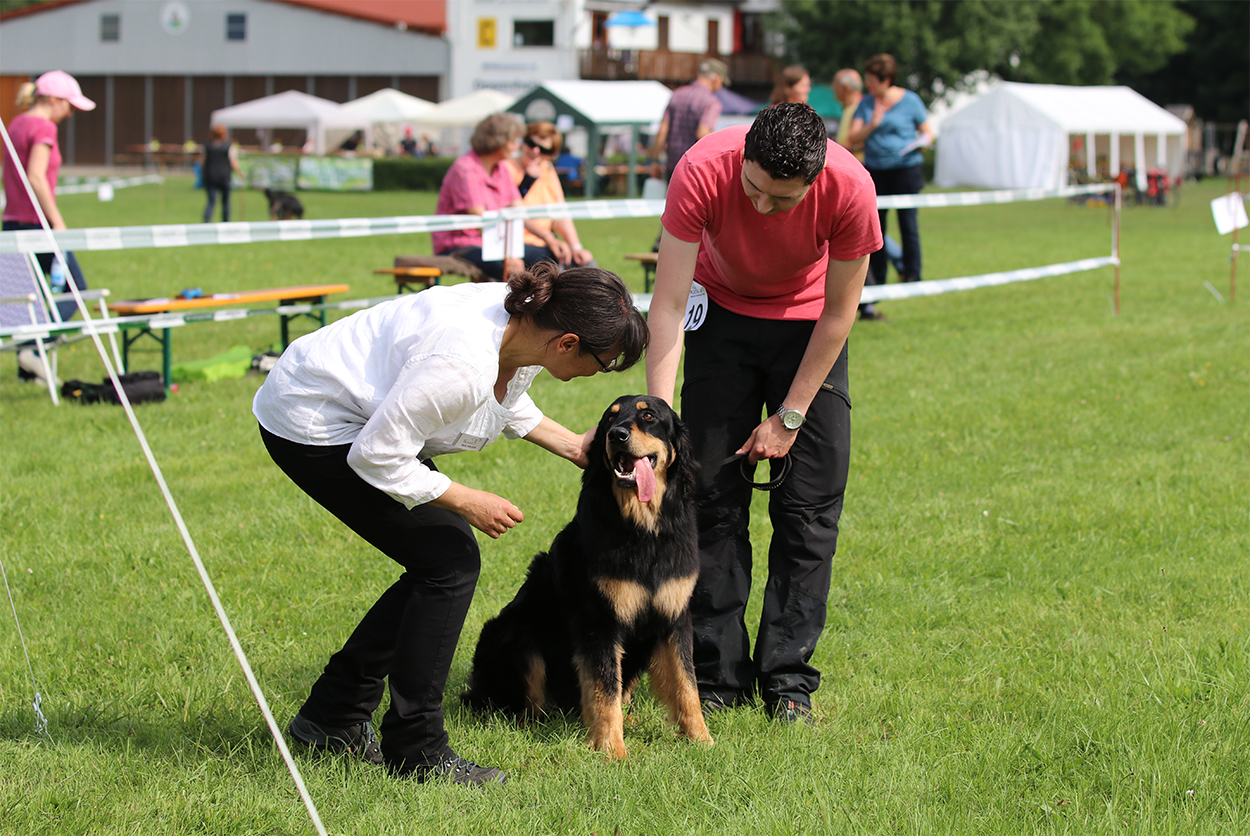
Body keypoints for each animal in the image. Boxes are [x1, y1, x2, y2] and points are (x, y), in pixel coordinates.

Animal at [463, 395, 712, 759]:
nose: (617, 435)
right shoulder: (599, 621)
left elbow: (686, 684)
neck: (642, 528)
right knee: (526, 704)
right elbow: (604, 688)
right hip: (516, 634)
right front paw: (612, 750)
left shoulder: (674, 616)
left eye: (648, 416)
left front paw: (703, 741)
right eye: (609, 419)